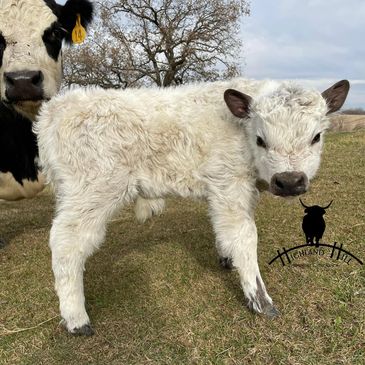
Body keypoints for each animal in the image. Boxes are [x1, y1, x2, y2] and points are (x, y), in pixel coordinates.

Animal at [35, 78, 348, 334]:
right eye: (261, 139)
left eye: (316, 137)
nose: (290, 180)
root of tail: (57, 107)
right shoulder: (229, 185)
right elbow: (245, 237)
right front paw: (260, 299)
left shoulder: (226, 194)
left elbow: (224, 231)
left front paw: (226, 258)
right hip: (91, 193)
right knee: (66, 245)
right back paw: (76, 319)